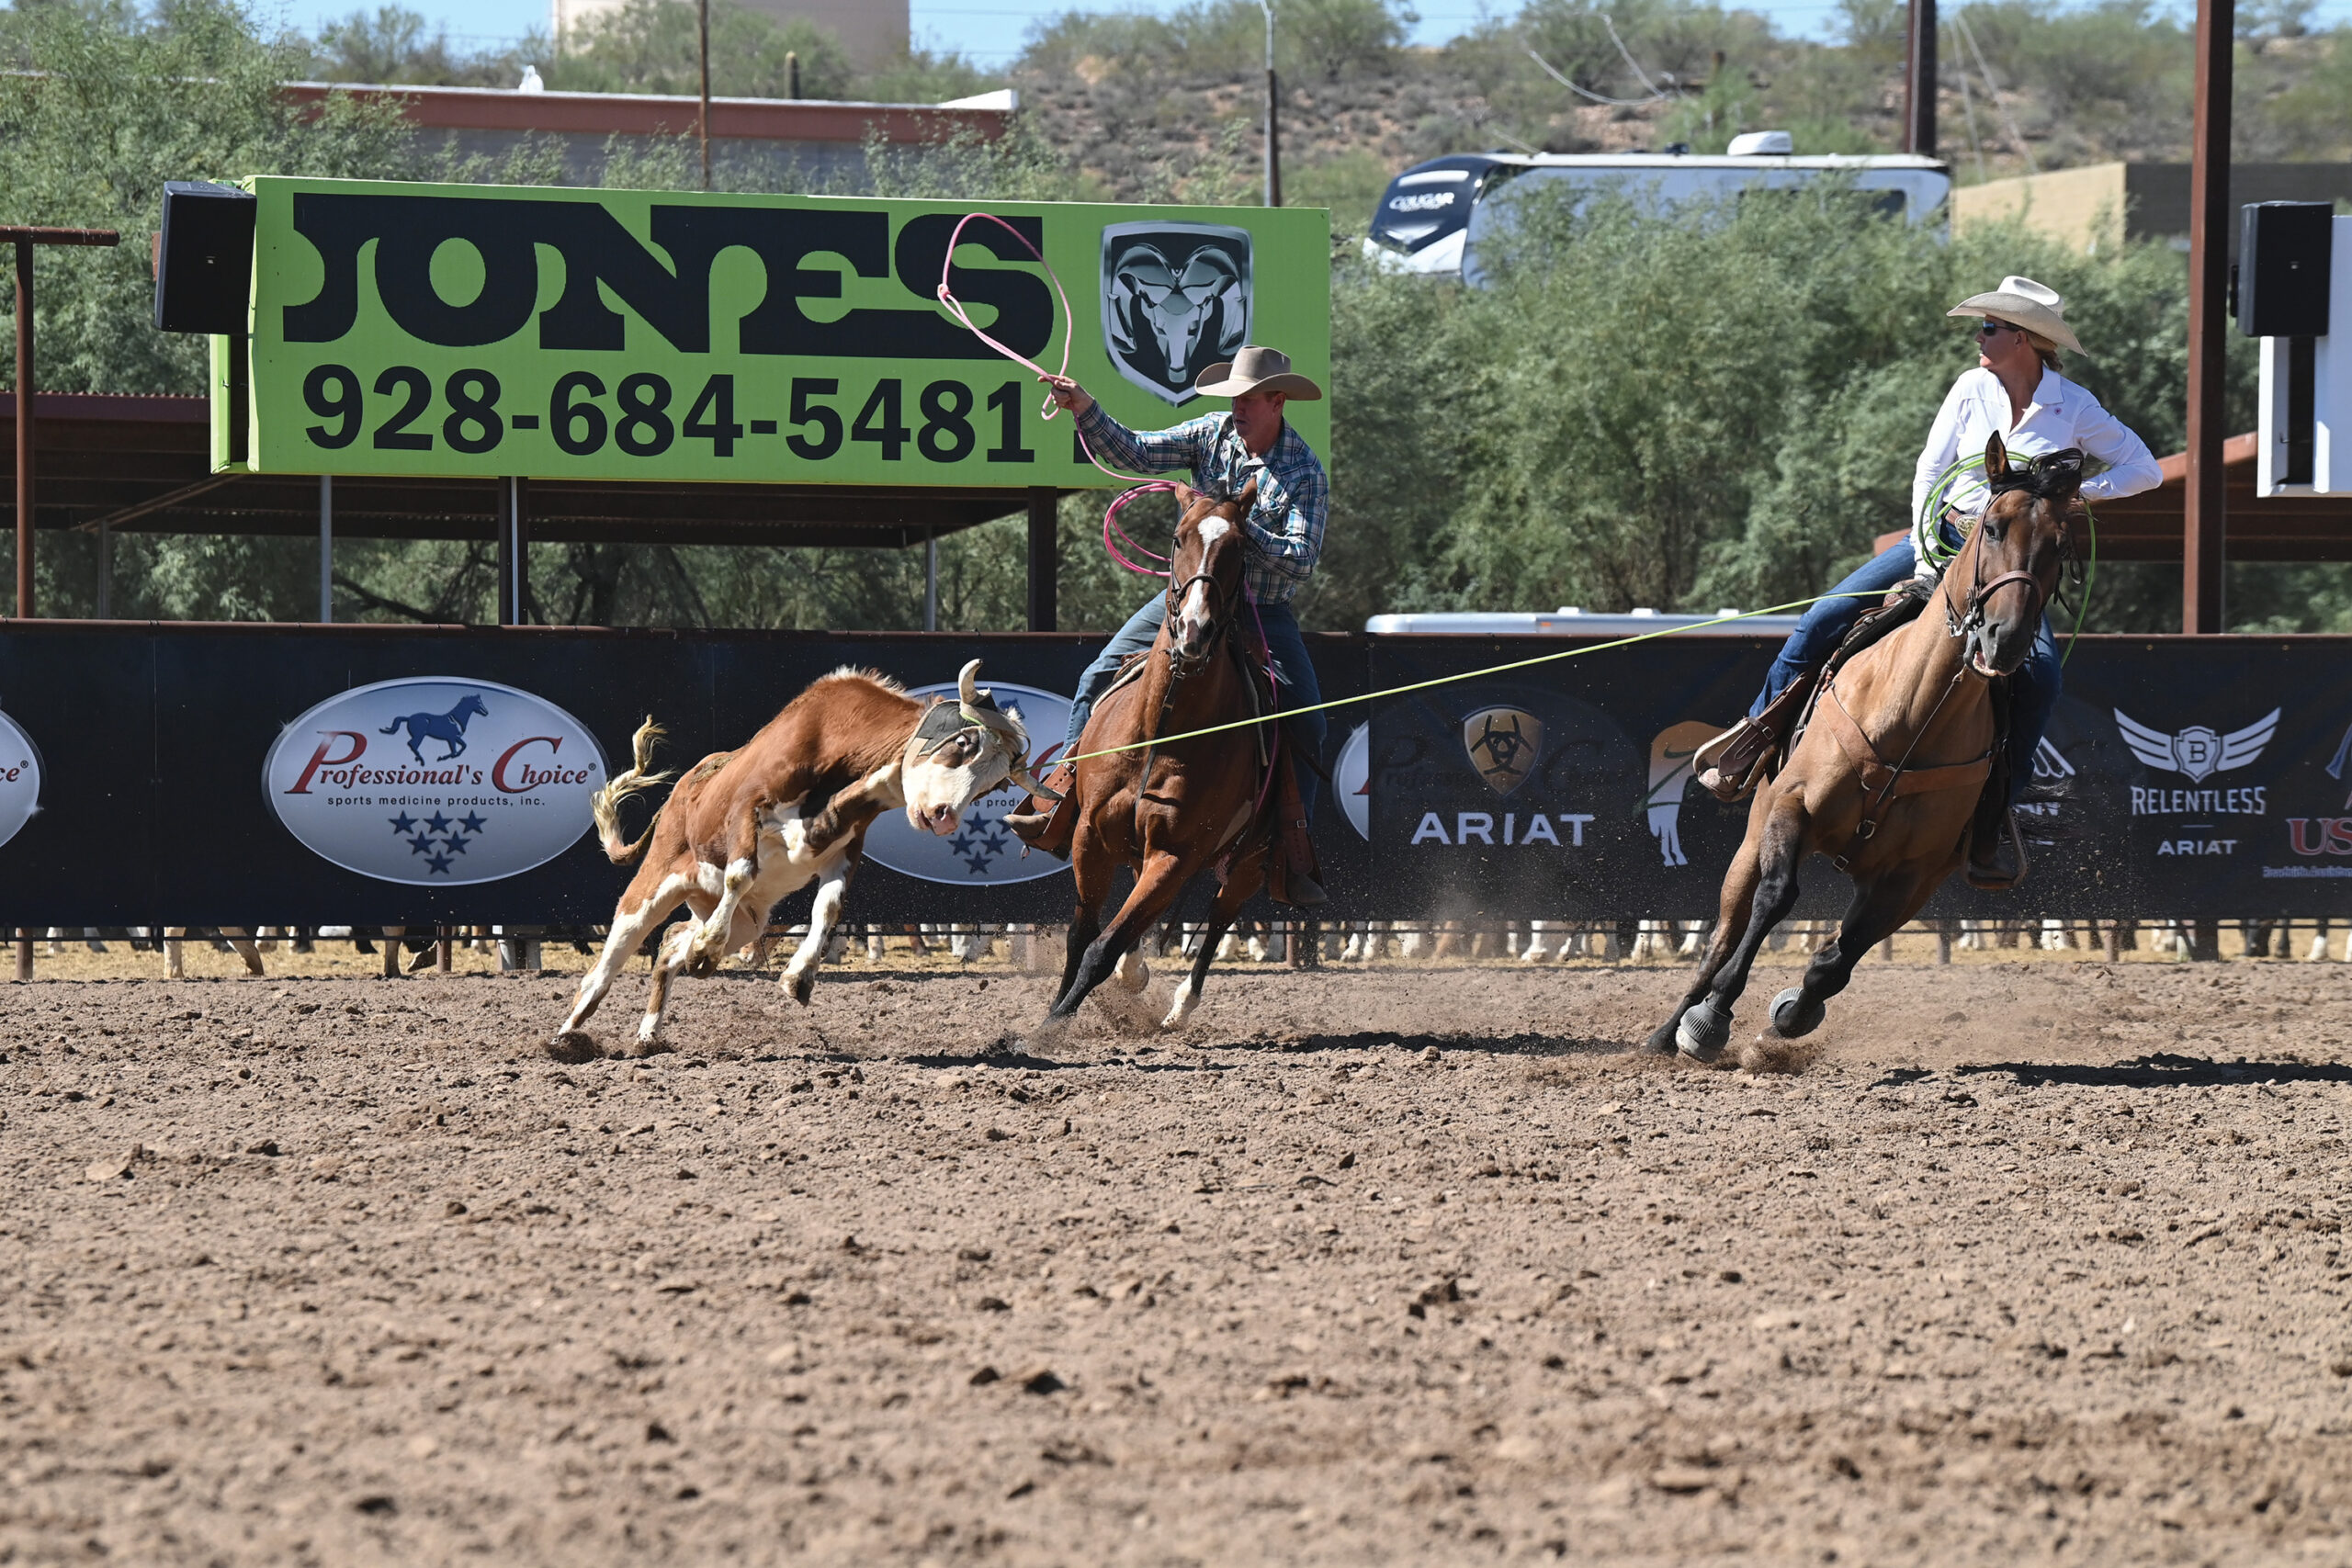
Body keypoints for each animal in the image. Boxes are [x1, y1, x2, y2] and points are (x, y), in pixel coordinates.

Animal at [550, 658, 1039, 1062]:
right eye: (963, 742)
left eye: (995, 785)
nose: (944, 818)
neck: (837, 755)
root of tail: (681, 794)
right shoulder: (745, 811)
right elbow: (741, 874)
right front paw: (709, 950)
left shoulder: (843, 852)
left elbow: (829, 908)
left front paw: (798, 977)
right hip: (653, 886)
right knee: (609, 964)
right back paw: (564, 1038)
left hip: (745, 922)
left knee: (671, 945)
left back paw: (650, 1036)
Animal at [1039, 484, 1279, 1034]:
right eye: (1178, 538)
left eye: (1242, 547)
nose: (1194, 630)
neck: (1161, 732)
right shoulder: (1089, 835)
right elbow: (1081, 936)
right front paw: (1050, 1018)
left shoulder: (1174, 855)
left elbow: (1103, 948)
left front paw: (1050, 1031)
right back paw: (1136, 974)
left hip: (1249, 860)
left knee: (1219, 915)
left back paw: (1180, 1005)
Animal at [1646, 434, 2088, 1062]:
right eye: (1992, 527)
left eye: (2058, 544)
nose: (2005, 638)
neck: (1912, 718)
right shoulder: (1791, 808)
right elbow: (1776, 899)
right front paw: (1712, 1017)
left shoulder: (1914, 877)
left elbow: (1837, 960)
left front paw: (1788, 1018)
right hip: (1753, 833)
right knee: (1724, 934)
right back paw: (1669, 1029)